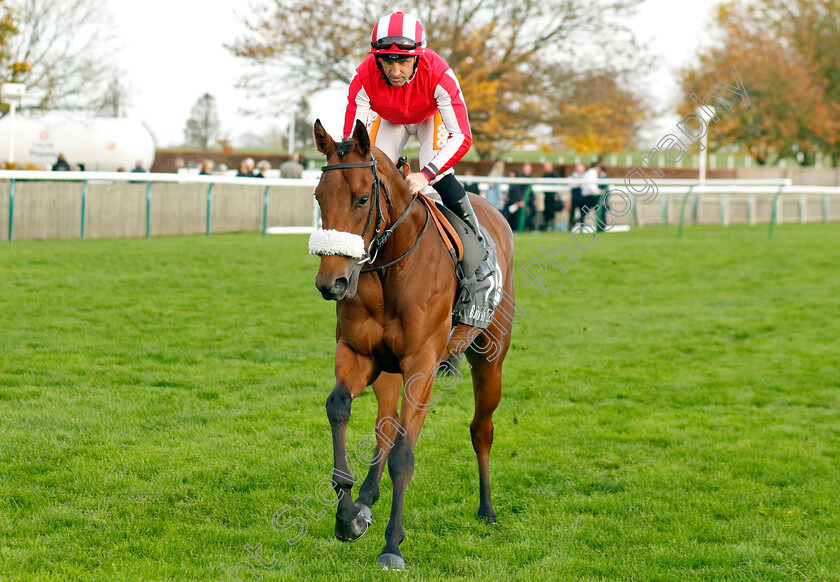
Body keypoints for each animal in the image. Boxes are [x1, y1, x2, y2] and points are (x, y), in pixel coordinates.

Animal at [312, 121, 516, 572]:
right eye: (318, 197)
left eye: (363, 198)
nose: (331, 282)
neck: (390, 266)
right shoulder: (358, 354)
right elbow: (339, 407)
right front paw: (347, 515)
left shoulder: (422, 364)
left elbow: (405, 453)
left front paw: (392, 545)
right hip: (389, 371)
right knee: (385, 427)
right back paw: (366, 501)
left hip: (490, 358)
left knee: (481, 429)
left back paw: (488, 509)